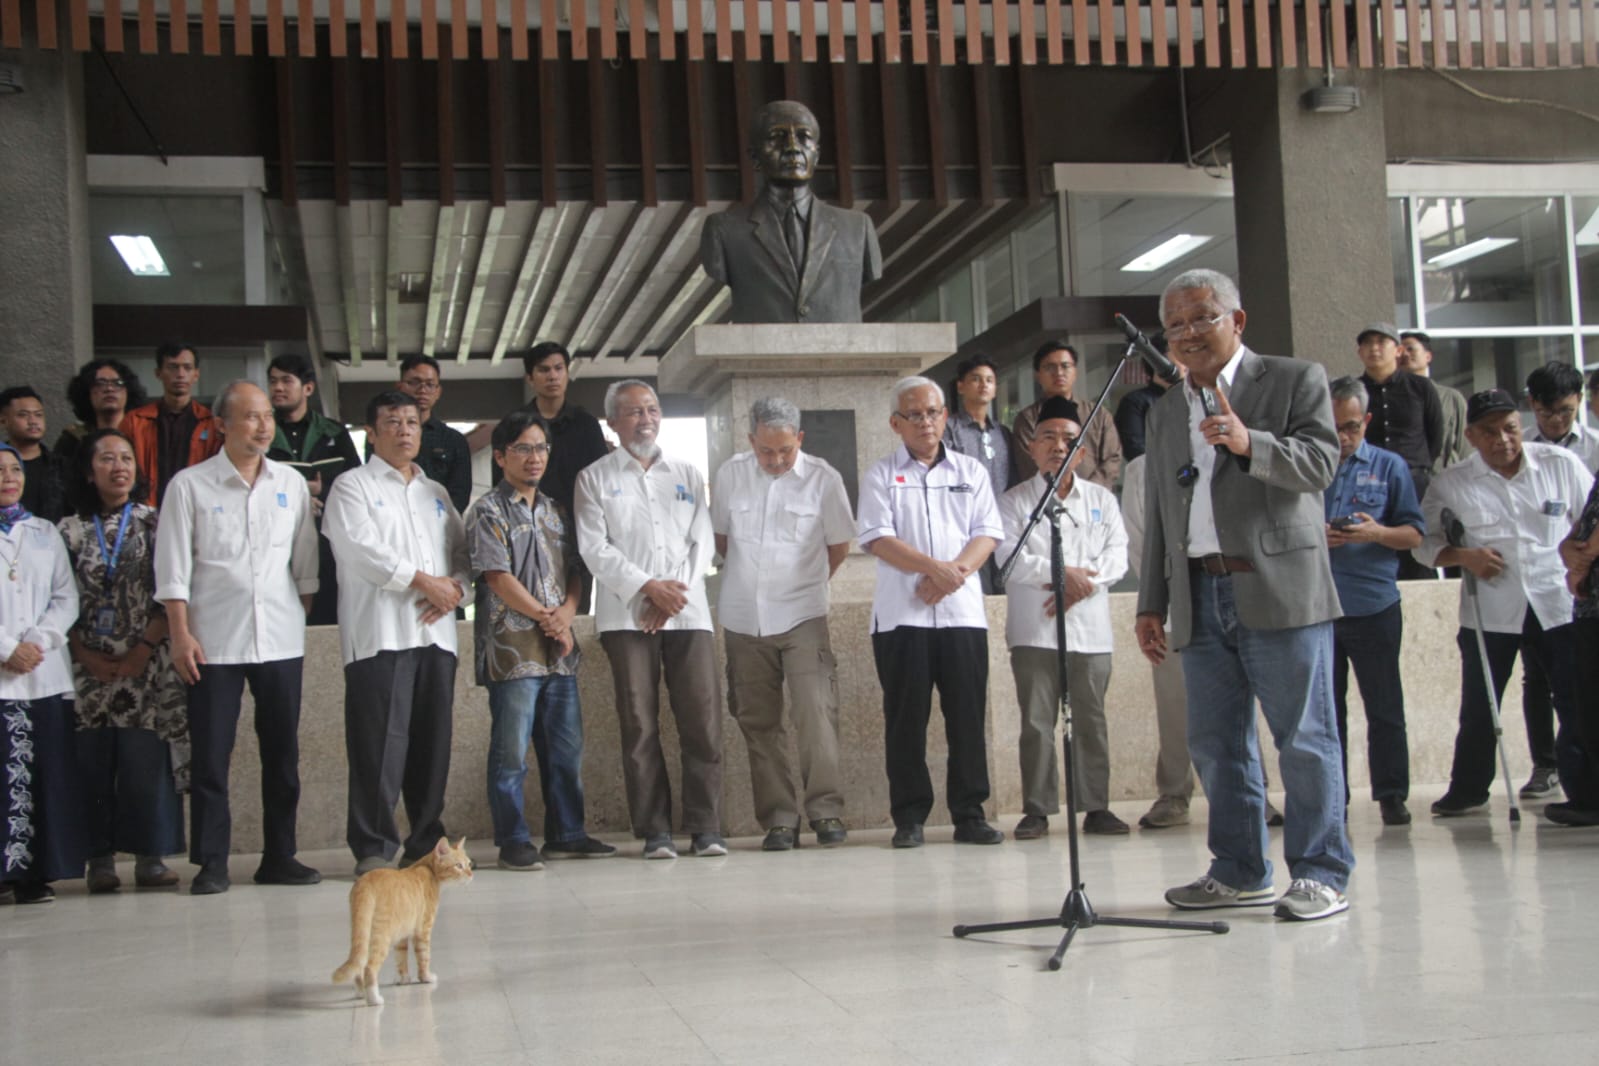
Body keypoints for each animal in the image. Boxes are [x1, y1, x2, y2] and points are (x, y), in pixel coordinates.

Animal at [329, 837, 466, 1003]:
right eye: (459, 865)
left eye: (468, 863)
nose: (471, 873)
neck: (426, 868)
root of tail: (365, 883)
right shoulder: (423, 930)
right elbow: (424, 956)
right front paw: (426, 977)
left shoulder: (402, 935)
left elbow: (401, 959)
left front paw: (403, 979)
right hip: (382, 935)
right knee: (369, 967)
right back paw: (374, 998)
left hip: (363, 931)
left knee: (359, 963)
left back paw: (361, 993)